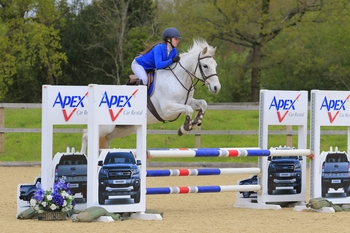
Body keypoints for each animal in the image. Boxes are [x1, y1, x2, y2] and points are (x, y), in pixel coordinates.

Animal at [80, 39, 220, 154]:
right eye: (205, 66)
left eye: (215, 65)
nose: (216, 88)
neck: (179, 78)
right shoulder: (167, 109)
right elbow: (189, 110)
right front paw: (184, 128)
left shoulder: (188, 101)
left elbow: (202, 104)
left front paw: (197, 121)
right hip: (106, 126)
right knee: (86, 135)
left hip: (120, 129)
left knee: (105, 139)